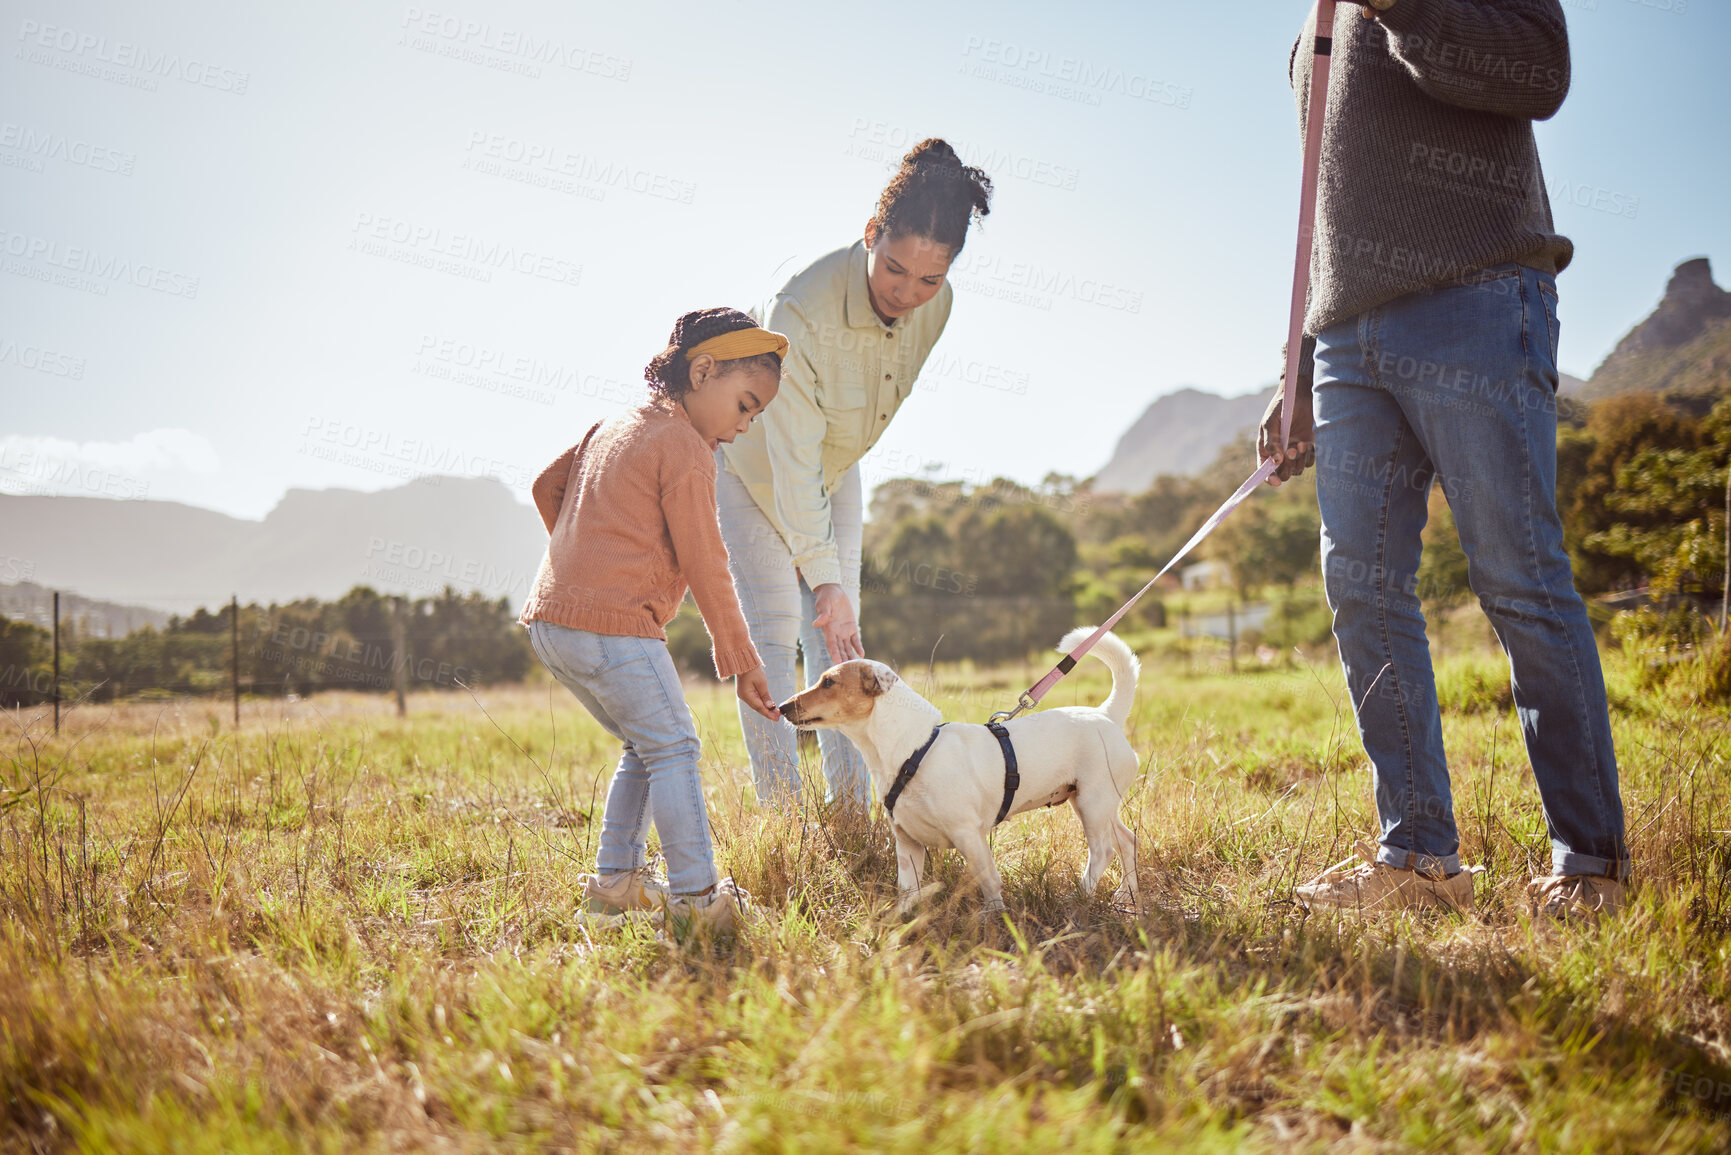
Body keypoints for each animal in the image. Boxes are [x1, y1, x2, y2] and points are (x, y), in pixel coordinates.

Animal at [782, 633, 1135, 914]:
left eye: (828, 682)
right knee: (1127, 841)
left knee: (1103, 851)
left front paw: (994, 919)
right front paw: (902, 923)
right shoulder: (907, 842)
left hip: (1092, 803)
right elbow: (908, 891)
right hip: (1097, 805)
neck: (912, 750)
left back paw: (1079, 897)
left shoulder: (969, 835)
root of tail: (1107, 715)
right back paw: (1127, 899)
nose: (781, 707)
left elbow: (990, 882)